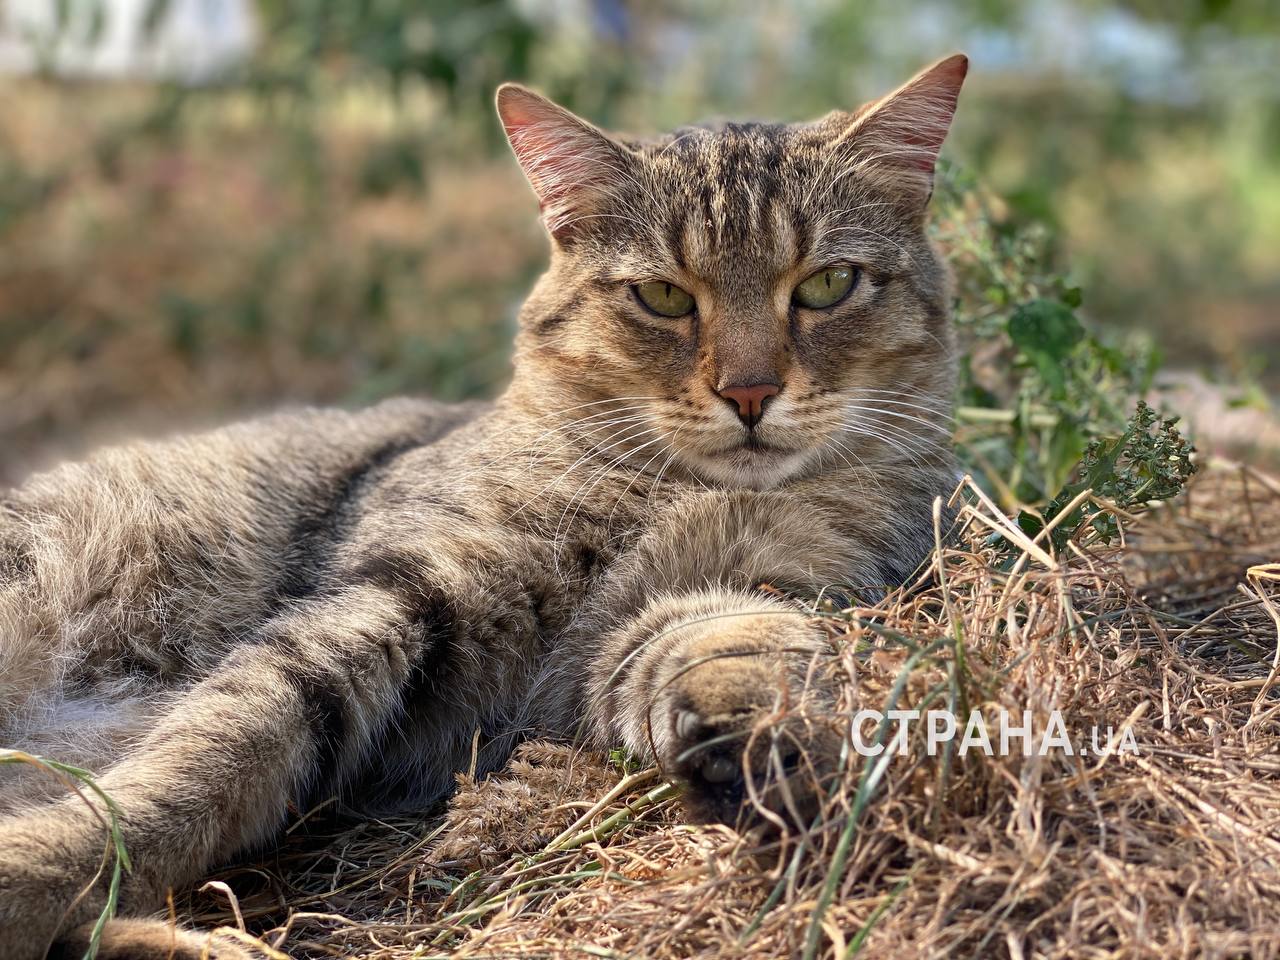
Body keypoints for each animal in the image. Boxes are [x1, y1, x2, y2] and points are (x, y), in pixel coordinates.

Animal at [0, 54, 962, 960]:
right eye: (664, 297)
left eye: (828, 284)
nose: (751, 393)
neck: (680, 490)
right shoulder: (399, 594)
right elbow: (204, 759)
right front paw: (38, 871)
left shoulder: (638, 640)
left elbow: (710, 637)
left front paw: (761, 700)